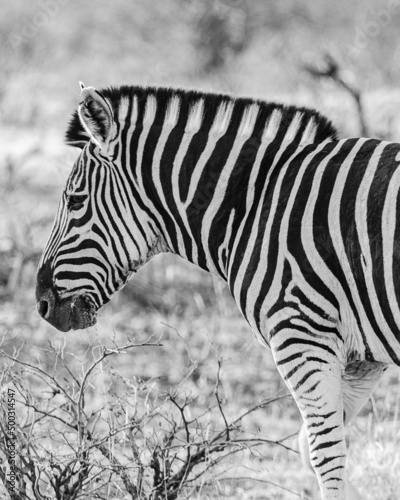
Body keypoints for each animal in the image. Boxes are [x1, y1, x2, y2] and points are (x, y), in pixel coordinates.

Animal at [35, 83, 400, 500]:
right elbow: (315, 449)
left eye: (76, 201)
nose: (42, 303)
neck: (254, 202)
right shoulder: (361, 357)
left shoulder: (301, 337)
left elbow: (326, 456)